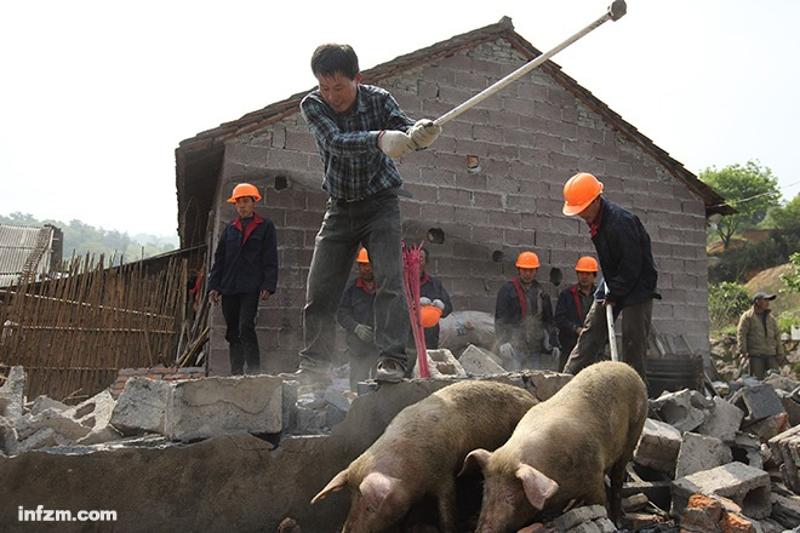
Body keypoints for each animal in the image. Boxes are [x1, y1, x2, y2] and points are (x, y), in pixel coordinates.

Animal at [310, 380, 536, 528]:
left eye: (370, 508)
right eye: (351, 500)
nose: (346, 529)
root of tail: (533, 397)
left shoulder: (444, 473)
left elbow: (447, 507)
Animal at [462, 360, 648, 528]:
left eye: (510, 495)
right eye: (485, 489)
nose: (483, 529)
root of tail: (624, 366)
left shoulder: (593, 475)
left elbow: (600, 501)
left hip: (635, 431)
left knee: (618, 476)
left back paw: (618, 519)